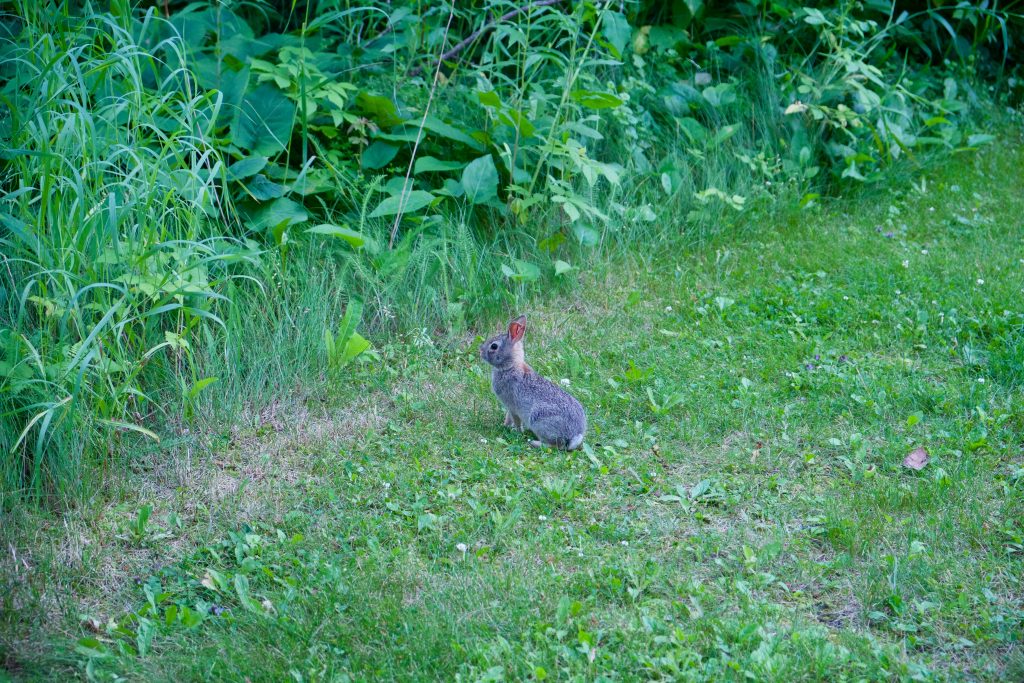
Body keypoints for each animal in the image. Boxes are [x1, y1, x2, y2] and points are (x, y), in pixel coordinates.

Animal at [479, 315, 587, 450]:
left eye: (494, 346)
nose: (480, 352)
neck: (509, 367)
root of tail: (575, 434)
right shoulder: (509, 407)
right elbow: (508, 417)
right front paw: (505, 426)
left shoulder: (512, 406)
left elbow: (515, 419)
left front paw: (515, 430)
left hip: (538, 419)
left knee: (556, 445)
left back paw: (534, 443)